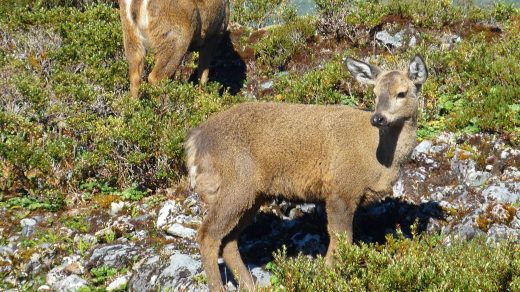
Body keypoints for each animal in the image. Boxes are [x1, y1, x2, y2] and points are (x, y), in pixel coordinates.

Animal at [185, 55, 428, 290]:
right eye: (375, 93)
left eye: (401, 93)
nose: (377, 118)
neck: (381, 160)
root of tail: (195, 141)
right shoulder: (341, 188)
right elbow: (341, 239)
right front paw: (329, 277)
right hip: (235, 183)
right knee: (207, 234)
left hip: (252, 195)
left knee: (229, 240)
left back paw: (250, 285)